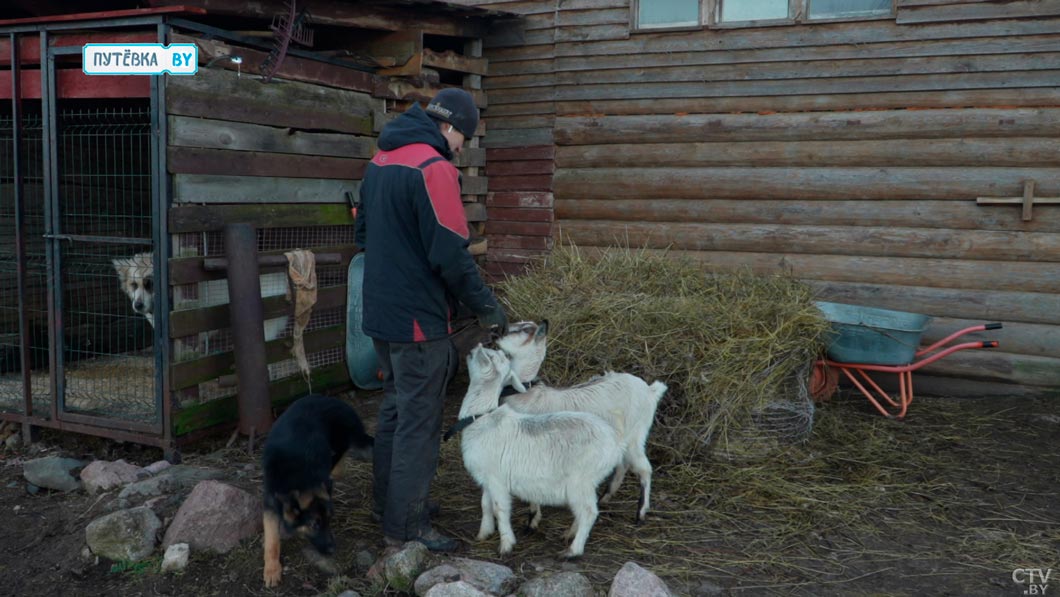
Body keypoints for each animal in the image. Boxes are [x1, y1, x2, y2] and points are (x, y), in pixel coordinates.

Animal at [260, 394, 373, 585]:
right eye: (315, 524)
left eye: (330, 520)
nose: (333, 549)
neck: (298, 477)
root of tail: (340, 403)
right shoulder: (269, 503)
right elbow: (272, 539)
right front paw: (272, 569)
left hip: (338, 448)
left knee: (338, 467)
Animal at [455, 345, 619, 559]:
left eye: (487, 356)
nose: (474, 348)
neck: (483, 418)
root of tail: (615, 443)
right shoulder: (486, 478)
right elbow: (485, 505)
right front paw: (483, 534)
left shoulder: (497, 479)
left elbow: (500, 509)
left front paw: (506, 545)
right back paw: (570, 534)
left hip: (581, 480)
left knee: (589, 512)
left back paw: (573, 550)